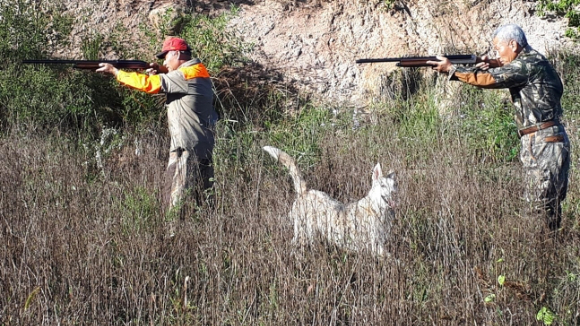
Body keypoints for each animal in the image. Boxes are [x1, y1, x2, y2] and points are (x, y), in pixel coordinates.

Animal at [264, 146, 396, 256]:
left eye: (394, 185)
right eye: (383, 185)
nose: (394, 193)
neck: (377, 209)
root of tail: (305, 191)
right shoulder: (376, 246)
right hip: (303, 233)